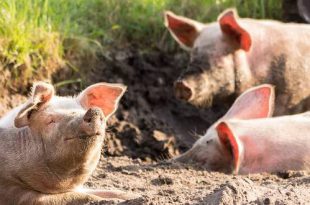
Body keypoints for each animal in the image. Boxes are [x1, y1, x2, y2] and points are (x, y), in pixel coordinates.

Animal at [0, 81, 137, 203]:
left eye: (81, 111)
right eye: (51, 120)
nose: (94, 111)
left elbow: (105, 191)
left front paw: (133, 197)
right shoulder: (14, 192)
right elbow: (76, 197)